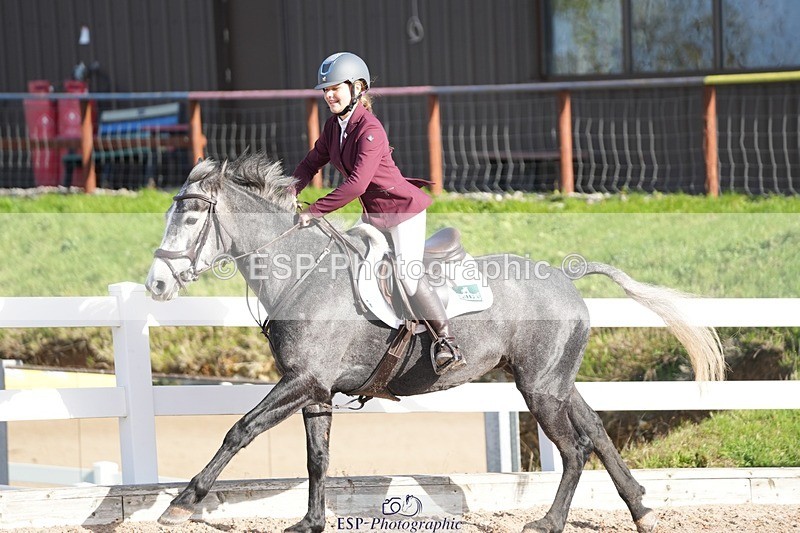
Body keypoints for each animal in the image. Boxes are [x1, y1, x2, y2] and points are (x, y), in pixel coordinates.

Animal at [145, 152, 725, 533]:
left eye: (191, 218)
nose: (155, 285)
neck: (301, 274)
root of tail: (564, 275)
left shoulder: (302, 381)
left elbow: (239, 431)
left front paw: (182, 502)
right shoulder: (313, 390)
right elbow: (317, 457)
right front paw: (310, 522)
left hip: (538, 387)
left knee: (574, 448)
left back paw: (549, 522)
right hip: (554, 381)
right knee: (597, 433)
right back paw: (641, 509)